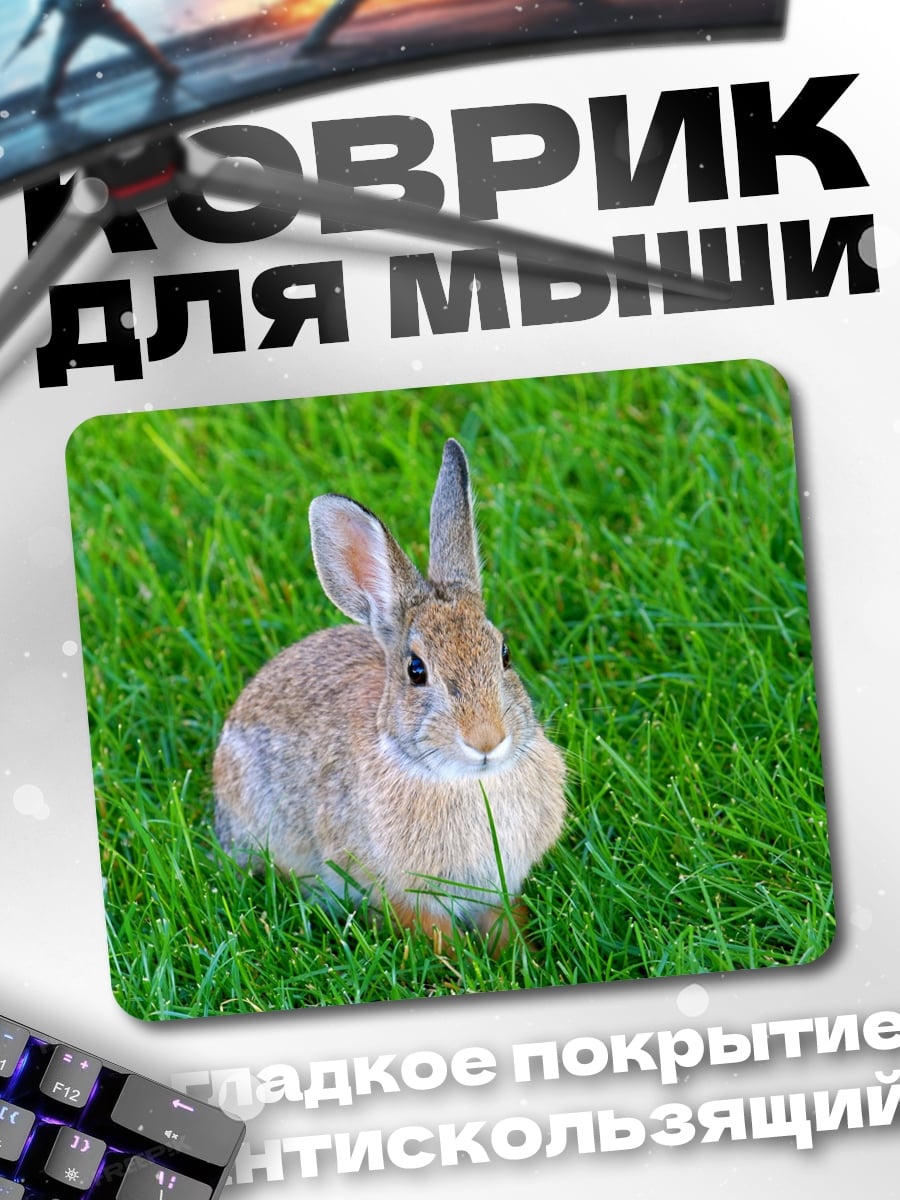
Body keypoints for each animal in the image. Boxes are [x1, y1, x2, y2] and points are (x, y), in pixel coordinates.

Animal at [213, 437, 567, 949]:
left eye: (504, 654)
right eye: (416, 671)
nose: (486, 740)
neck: (463, 780)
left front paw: (522, 954)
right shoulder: (401, 890)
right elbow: (434, 934)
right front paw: (462, 962)